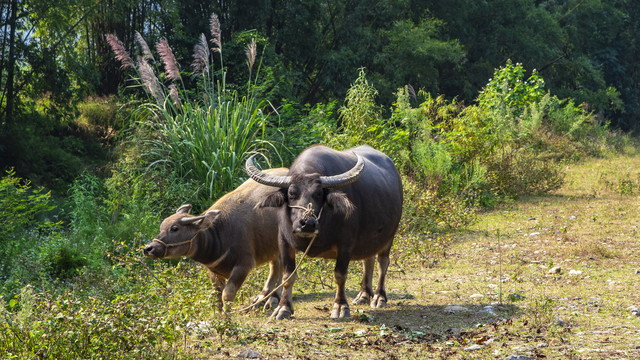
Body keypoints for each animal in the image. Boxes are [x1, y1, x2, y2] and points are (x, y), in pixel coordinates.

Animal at [145, 169, 288, 310]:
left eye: (174, 228)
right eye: (161, 227)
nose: (148, 248)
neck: (220, 236)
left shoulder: (244, 265)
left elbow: (227, 295)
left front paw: (228, 315)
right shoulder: (212, 270)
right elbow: (218, 295)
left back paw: (273, 298)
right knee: (276, 264)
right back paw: (265, 297)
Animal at [248, 145, 402, 320]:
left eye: (319, 194)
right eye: (291, 194)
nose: (307, 223)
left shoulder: (346, 244)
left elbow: (340, 275)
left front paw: (340, 306)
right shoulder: (284, 242)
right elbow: (288, 276)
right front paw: (283, 308)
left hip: (389, 236)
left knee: (383, 263)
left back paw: (379, 297)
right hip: (369, 238)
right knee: (367, 260)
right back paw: (363, 295)